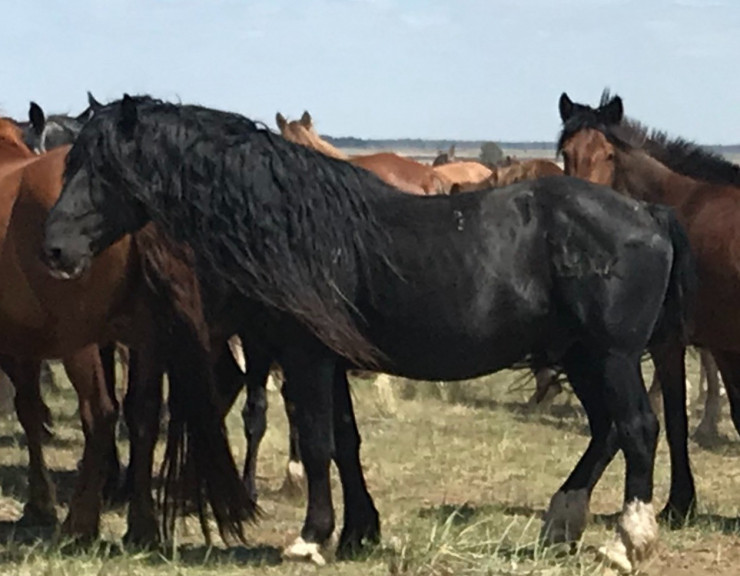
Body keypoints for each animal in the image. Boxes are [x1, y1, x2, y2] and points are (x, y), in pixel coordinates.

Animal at [556, 89, 740, 532]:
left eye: (608, 154)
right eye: (567, 153)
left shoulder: (671, 343)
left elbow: (675, 420)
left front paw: (679, 504)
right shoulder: (724, 346)